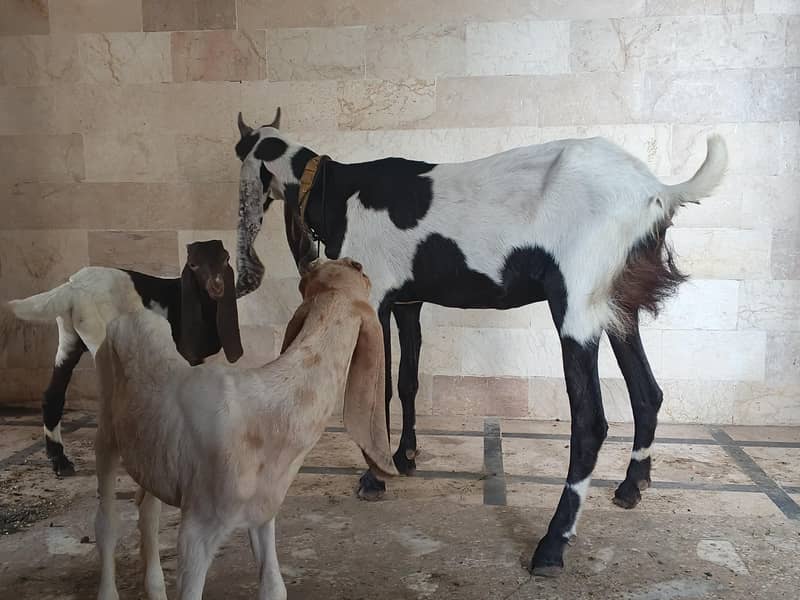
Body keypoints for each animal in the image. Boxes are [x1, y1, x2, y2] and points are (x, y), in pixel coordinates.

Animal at [5, 240, 243, 476]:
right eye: (192, 264)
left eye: (226, 259)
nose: (217, 286)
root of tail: (73, 286)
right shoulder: (188, 354)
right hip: (100, 338)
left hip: (69, 340)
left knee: (53, 396)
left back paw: (60, 461)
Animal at [93, 258, 396, 600]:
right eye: (361, 273)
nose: (348, 260)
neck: (269, 413)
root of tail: (131, 315)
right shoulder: (198, 526)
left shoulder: (263, 510)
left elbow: (274, 587)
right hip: (106, 428)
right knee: (106, 522)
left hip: (150, 449)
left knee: (147, 510)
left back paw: (156, 588)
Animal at [234, 109, 728, 575]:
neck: (338, 189)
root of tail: (657, 190)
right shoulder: (409, 301)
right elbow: (407, 381)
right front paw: (405, 457)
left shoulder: (374, 298)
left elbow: (379, 389)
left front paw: (375, 477)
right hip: (619, 305)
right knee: (647, 392)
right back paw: (631, 486)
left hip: (577, 305)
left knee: (591, 423)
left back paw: (552, 546)